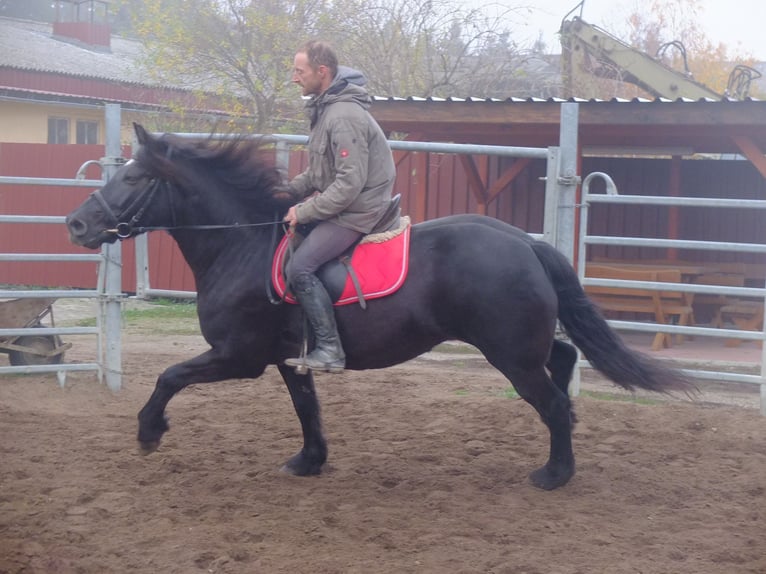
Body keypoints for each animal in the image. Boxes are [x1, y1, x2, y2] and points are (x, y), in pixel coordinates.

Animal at [66, 125, 692, 490]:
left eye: (135, 178)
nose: (77, 223)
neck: (241, 245)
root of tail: (525, 242)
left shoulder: (236, 357)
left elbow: (169, 376)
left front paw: (149, 432)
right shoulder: (288, 358)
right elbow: (307, 408)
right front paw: (309, 462)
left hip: (510, 353)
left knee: (553, 401)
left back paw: (555, 474)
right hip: (522, 346)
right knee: (561, 365)